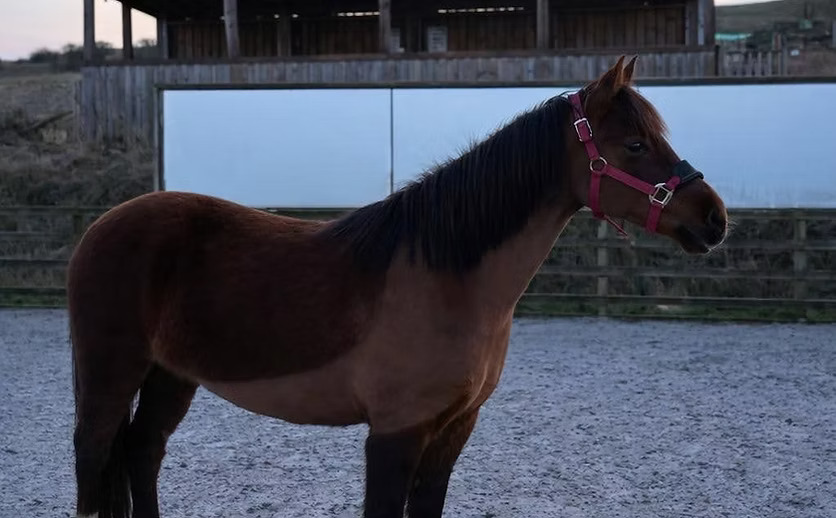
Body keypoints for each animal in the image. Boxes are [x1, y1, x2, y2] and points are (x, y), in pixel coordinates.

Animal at [68, 56, 728, 518]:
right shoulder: (395, 432)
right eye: (635, 144)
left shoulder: (453, 429)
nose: (714, 217)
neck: (450, 278)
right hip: (110, 373)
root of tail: (103, 224)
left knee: (142, 452)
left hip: (170, 375)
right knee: (95, 456)